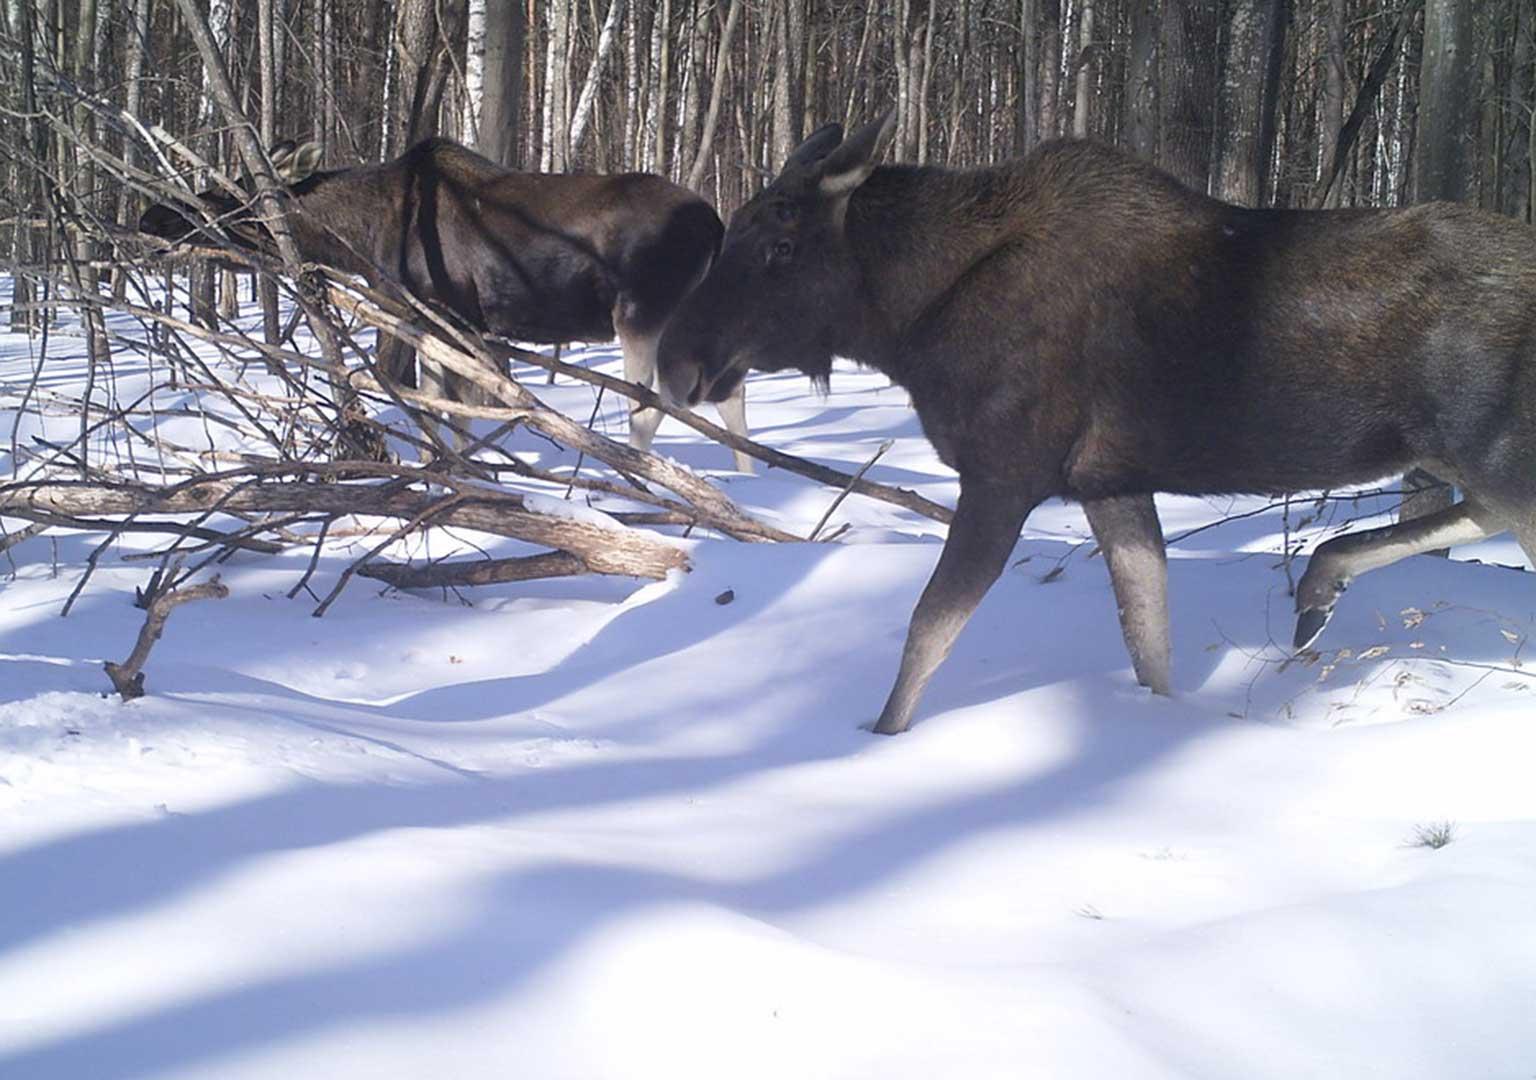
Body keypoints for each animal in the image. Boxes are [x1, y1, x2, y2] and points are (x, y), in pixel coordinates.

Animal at [141, 138, 752, 470]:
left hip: (641, 314)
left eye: (232, 195)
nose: (151, 218)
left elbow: (430, 399)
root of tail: (717, 227)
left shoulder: (429, 308)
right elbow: (446, 404)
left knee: (651, 406)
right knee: (731, 403)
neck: (358, 237)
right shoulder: (449, 321)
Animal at [657, 113, 1536, 740]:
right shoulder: (1109, 484)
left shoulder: (1003, 475)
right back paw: (1320, 585)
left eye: (780, 243)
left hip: (1496, 454)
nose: (674, 360)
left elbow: (925, 634)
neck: (907, 324)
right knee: (1463, 516)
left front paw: (871, 742)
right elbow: (1147, 637)